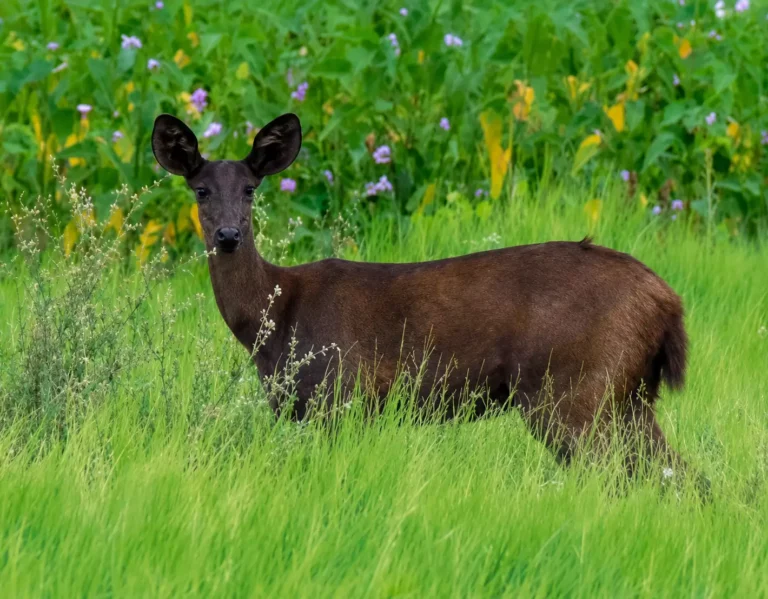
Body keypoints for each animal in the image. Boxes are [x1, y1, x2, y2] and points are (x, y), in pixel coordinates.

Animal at [152, 112, 697, 486]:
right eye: (200, 190)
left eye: (249, 189)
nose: (227, 235)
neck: (275, 321)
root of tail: (668, 302)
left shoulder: (339, 395)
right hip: (626, 394)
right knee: (682, 478)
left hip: (576, 387)